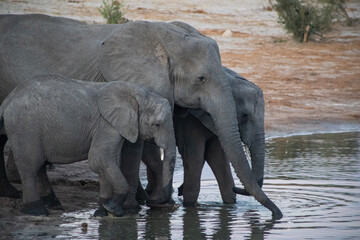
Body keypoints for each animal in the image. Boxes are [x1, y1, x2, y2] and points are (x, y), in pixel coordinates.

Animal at [0, 75, 176, 218]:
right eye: (157, 125)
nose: (156, 202)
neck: (137, 94)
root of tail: (7, 101)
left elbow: (107, 163)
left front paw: (102, 212)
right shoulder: (107, 125)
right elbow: (100, 159)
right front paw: (113, 209)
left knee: (39, 166)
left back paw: (53, 204)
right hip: (25, 129)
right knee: (30, 167)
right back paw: (37, 211)